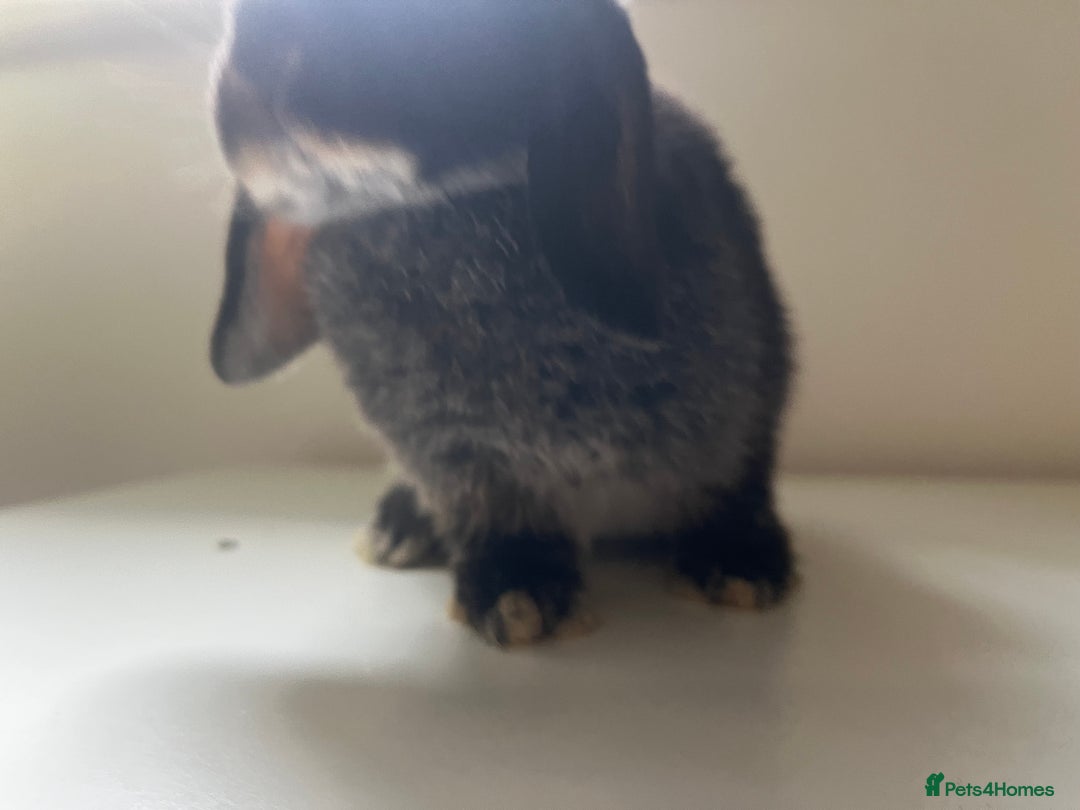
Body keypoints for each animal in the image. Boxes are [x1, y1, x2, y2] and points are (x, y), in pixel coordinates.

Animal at [208, 0, 795, 646]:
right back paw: (398, 530)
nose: (256, 69)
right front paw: (520, 596)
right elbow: (494, 511)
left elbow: (728, 480)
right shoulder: (458, 456)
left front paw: (738, 566)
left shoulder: (740, 408)